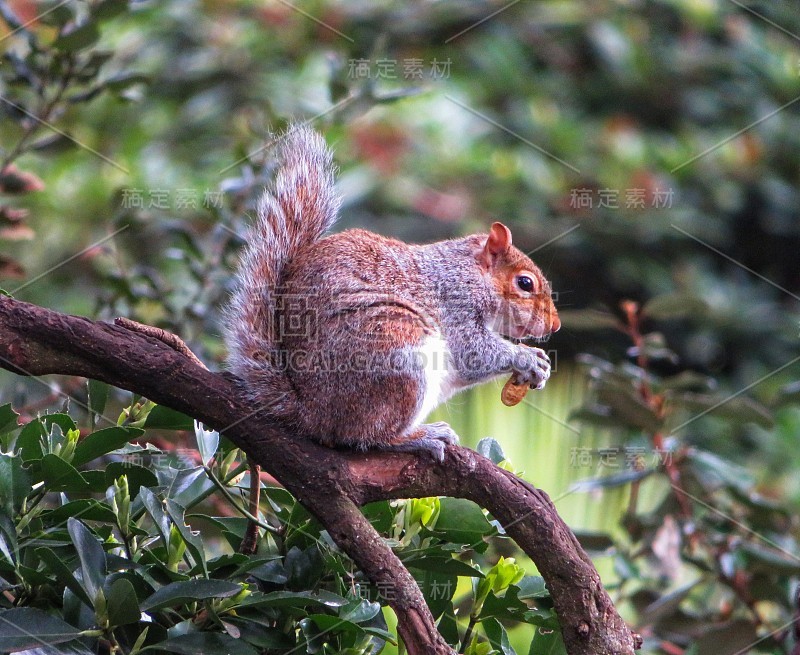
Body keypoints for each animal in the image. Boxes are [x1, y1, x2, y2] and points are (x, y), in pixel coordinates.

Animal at [223, 127, 564, 462]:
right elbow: (473, 352)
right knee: (366, 436)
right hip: (397, 353)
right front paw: (527, 358)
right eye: (525, 283)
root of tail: (312, 413)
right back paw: (421, 436)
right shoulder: (456, 304)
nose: (555, 325)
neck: (468, 272)